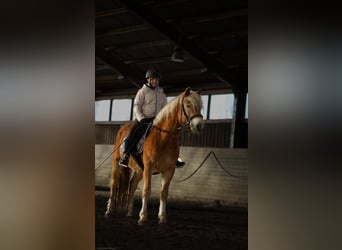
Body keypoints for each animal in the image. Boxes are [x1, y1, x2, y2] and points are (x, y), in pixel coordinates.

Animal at [104, 86, 204, 225]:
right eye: (188, 105)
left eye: (200, 107)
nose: (199, 125)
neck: (164, 137)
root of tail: (123, 129)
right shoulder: (149, 167)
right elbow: (146, 191)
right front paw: (143, 217)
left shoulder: (169, 170)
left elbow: (164, 193)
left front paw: (162, 217)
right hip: (117, 165)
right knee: (113, 185)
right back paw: (109, 210)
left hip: (140, 170)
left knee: (132, 185)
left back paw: (130, 212)